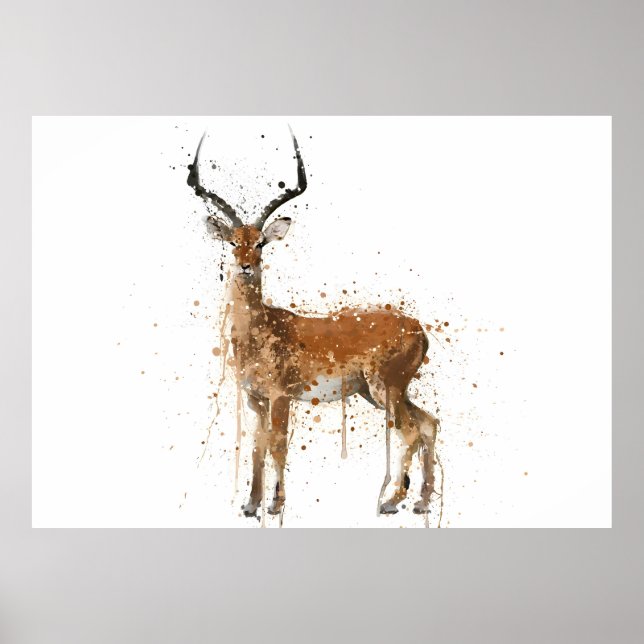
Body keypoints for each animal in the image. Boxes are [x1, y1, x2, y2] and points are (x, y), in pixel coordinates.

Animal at [187, 128, 440, 520]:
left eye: (261, 243)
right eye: (232, 242)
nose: (245, 267)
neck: (261, 332)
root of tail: (418, 328)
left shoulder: (280, 396)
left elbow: (277, 446)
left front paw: (275, 504)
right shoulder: (255, 400)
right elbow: (257, 447)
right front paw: (250, 504)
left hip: (386, 389)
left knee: (413, 432)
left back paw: (390, 502)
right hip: (380, 393)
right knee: (430, 423)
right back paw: (421, 502)